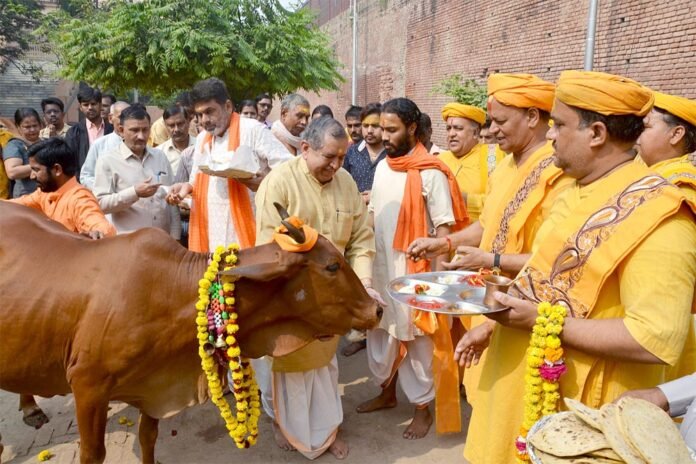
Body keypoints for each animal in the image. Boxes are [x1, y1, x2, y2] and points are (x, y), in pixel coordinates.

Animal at [0, 203, 380, 464]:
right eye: (331, 266)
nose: (376, 309)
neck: (171, 291)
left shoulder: (154, 386)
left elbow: (148, 437)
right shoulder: (87, 386)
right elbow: (93, 454)